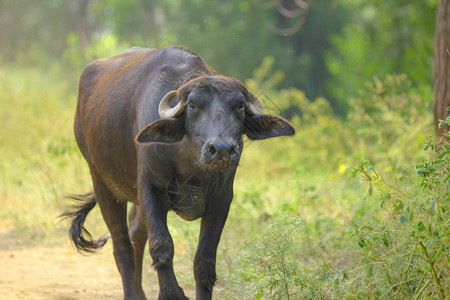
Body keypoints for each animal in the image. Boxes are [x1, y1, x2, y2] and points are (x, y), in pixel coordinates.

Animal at [63, 45, 296, 298]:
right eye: (192, 105)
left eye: (240, 106)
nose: (222, 149)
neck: (190, 166)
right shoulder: (149, 188)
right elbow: (161, 246)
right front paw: (171, 293)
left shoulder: (222, 198)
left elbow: (204, 261)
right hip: (103, 183)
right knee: (122, 246)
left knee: (136, 233)